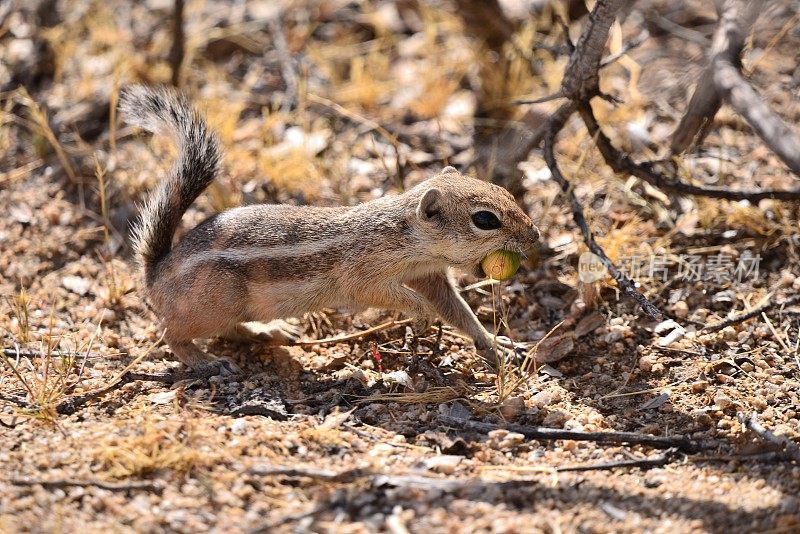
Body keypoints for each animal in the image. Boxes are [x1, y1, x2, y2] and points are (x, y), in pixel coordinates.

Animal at [122, 85, 540, 376]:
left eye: (506, 192)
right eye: (485, 219)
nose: (534, 235)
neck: (410, 237)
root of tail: (156, 273)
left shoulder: (432, 276)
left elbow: (459, 311)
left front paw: (496, 344)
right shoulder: (366, 274)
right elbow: (390, 296)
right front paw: (421, 315)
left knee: (230, 330)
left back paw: (271, 332)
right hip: (214, 303)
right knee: (171, 333)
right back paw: (205, 360)